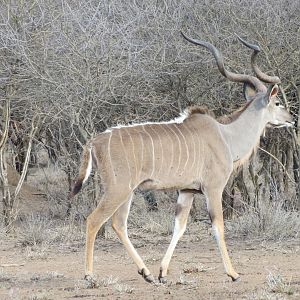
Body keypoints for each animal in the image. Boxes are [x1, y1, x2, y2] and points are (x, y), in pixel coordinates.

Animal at [69, 32, 292, 284]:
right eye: (277, 103)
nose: (292, 119)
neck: (226, 135)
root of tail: (93, 142)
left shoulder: (187, 191)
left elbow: (179, 227)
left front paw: (162, 273)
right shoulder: (213, 189)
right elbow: (218, 227)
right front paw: (233, 273)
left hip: (127, 192)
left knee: (118, 224)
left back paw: (146, 273)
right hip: (117, 190)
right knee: (94, 220)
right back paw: (89, 275)